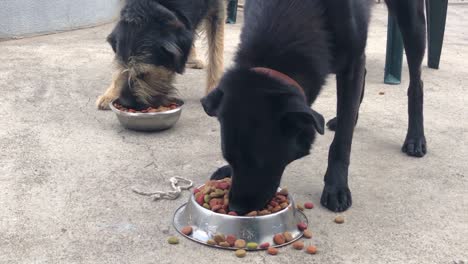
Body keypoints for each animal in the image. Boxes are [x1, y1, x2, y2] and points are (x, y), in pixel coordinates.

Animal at [97, 0, 225, 110]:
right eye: (121, 67)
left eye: (144, 74)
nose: (126, 103)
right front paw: (111, 93)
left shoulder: (218, 8)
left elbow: (216, 54)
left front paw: (214, 92)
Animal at [201, 0, 428, 213]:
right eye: (229, 157)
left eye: (261, 162)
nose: (236, 208)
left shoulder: (352, 63)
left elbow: (342, 141)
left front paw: (336, 187)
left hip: (411, 22)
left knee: (416, 83)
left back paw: (415, 138)